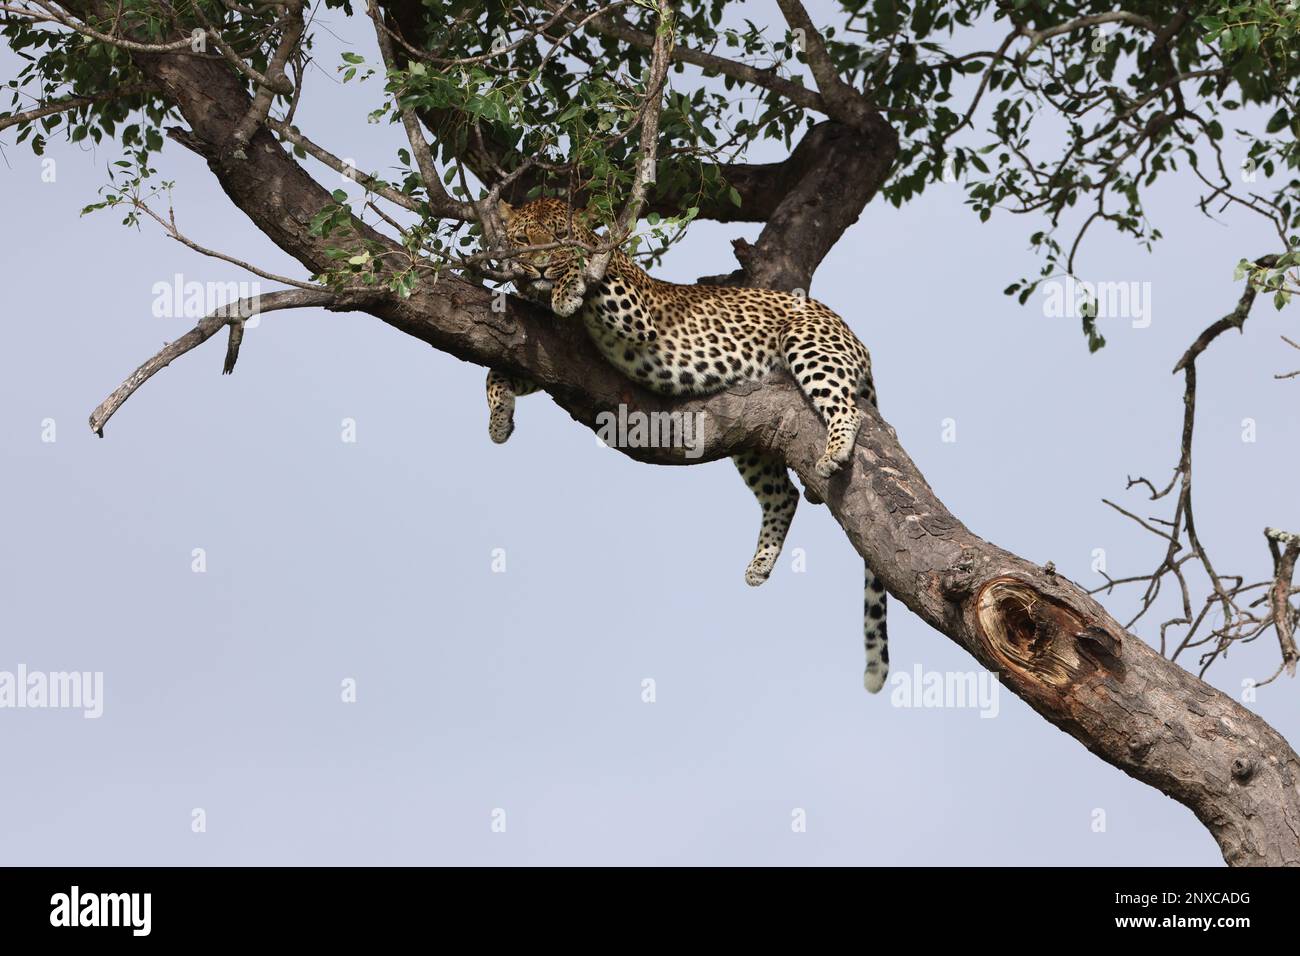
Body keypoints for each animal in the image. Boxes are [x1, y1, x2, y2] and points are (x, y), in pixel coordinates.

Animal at [483, 200, 889, 697]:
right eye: (523, 241)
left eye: (559, 238)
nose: (539, 266)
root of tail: (855, 336)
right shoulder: (555, 356)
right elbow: (496, 372)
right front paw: (499, 419)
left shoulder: (632, 306)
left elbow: (594, 265)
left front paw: (567, 283)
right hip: (753, 438)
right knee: (784, 495)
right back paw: (760, 564)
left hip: (808, 344)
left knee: (845, 408)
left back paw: (833, 453)